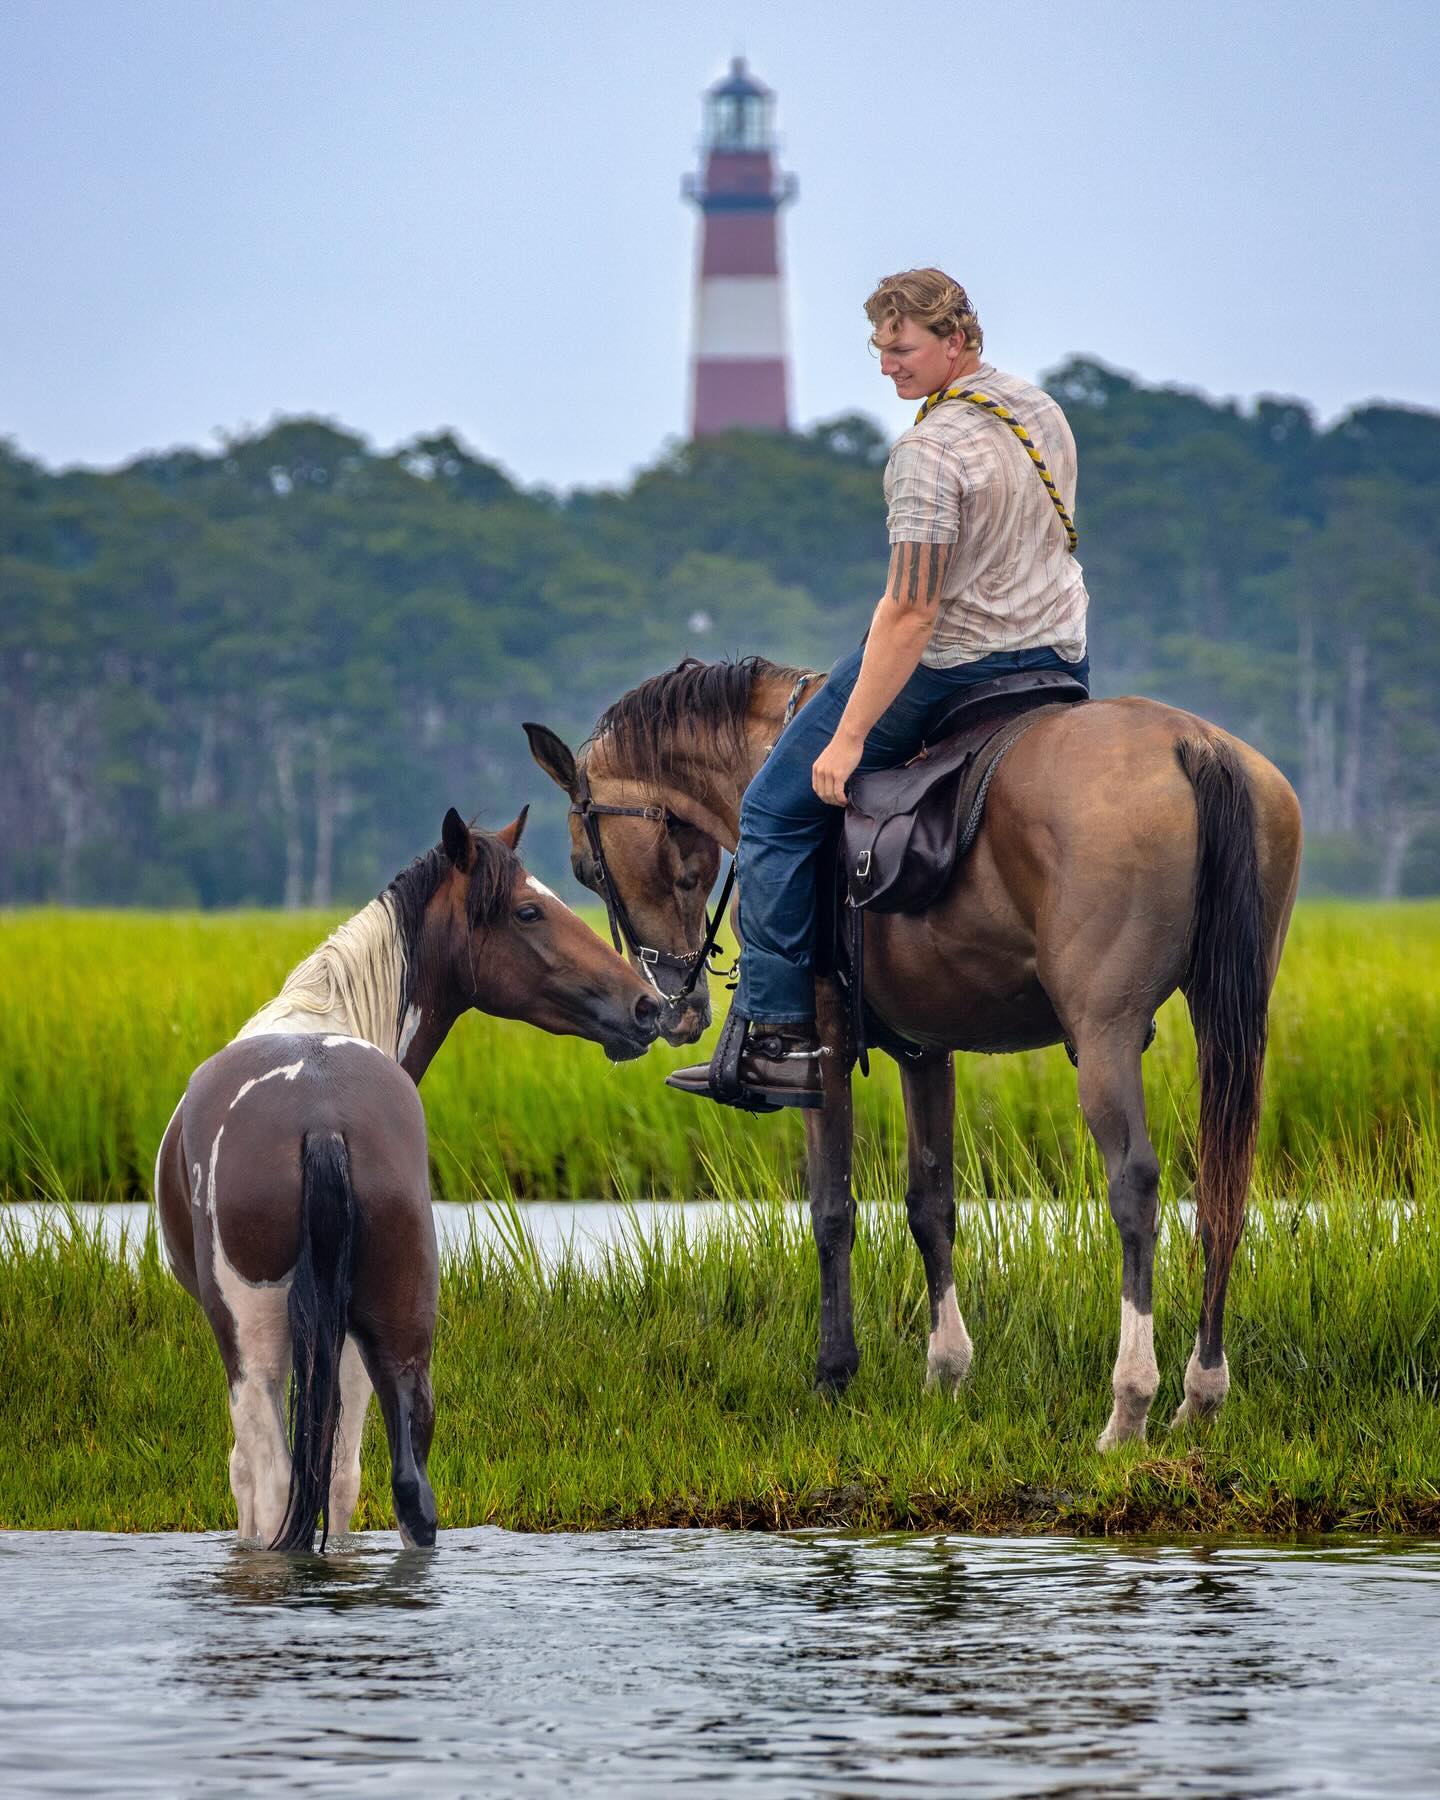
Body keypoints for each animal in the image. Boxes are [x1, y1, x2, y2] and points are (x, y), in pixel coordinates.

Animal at [154, 806, 664, 1551]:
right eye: (529, 910)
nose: (647, 1007)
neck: (326, 1013)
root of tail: (321, 1118)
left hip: (256, 1346)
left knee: (272, 1484)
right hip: (397, 1341)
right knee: (396, 1489)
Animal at [524, 656, 1303, 1449]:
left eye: (586, 869)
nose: (675, 1009)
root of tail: (1192, 744)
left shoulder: (826, 1042)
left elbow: (832, 1209)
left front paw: (834, 1374)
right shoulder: (928, 1051)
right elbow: (931, 1205)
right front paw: (946, 1372)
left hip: (1105, 1033)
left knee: (1136, 1186)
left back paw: (1130, 1403)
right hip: (1227, 1019)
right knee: (1223, 1188)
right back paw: (1200, 1392)